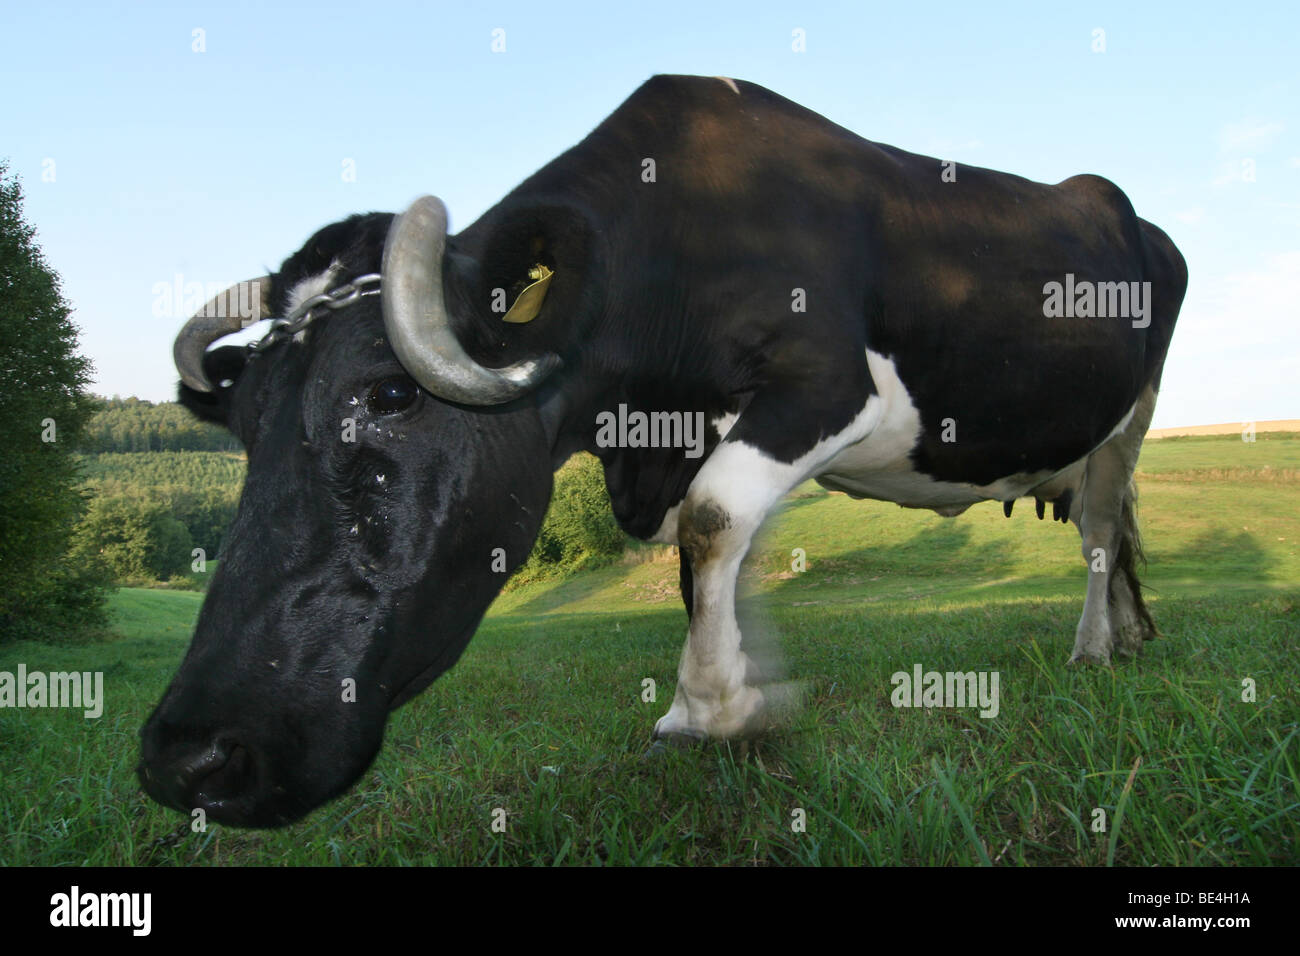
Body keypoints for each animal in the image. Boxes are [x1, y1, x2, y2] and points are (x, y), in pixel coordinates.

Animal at [139, 74, 1190, 827]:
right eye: (243, 425)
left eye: (390, 393)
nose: (186, 760)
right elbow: (702, 557)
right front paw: (724, 689)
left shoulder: (829, 387)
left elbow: (715, 518)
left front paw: (716, 709)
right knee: (1116, 534)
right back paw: (1133, 634)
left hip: (1131, 413)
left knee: (1101, 530)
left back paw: (1094, 647)